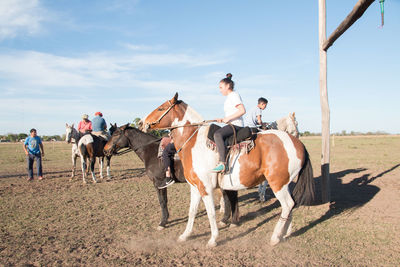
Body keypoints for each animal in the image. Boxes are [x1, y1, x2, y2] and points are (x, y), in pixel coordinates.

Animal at [104, 123, 241, 230]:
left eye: (116, 134)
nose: (105, 150)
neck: (151, 151)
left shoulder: (159, 183)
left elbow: (162, 201)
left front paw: (163, 222)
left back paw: (232, 221)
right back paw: (225, 220)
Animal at [142, 93, 314, 248]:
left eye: (161, 108)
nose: (143, 122)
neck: (194, 142)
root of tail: (298, 143)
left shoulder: (205, 188)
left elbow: (211, 213)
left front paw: (213, 239)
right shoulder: (195, 187)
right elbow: (192, 211)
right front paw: (185, 236)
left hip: (277, 183)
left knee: (287, 205)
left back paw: (275, 237)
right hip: (285, 184)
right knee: (290, 205)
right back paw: (285, 234)